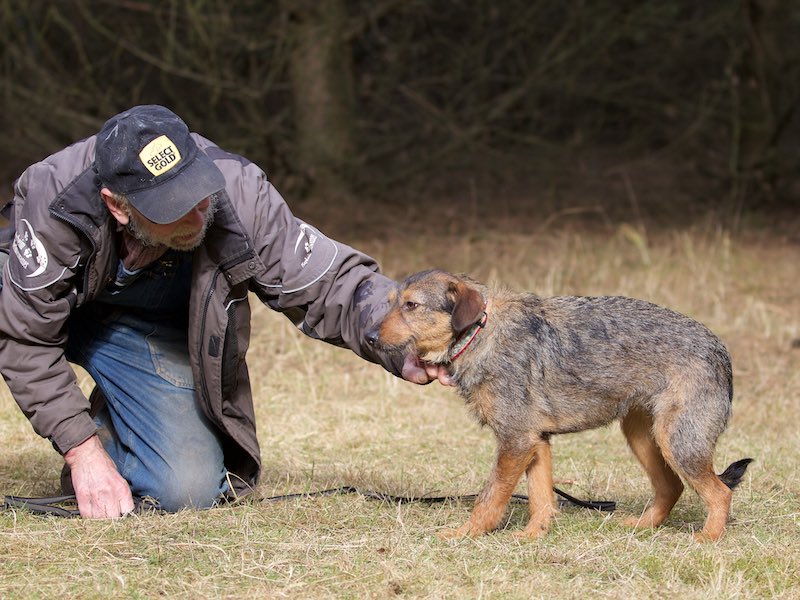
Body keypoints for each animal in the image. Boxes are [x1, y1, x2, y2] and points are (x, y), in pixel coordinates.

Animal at [367, 270, 752, 542]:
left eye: (412, 306)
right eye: (391, 302)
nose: (368, 336)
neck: (481, 333)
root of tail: (720, 350)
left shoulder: (515, 441)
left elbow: (490, 498)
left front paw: (466, 534)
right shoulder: (534, 441)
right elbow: (540, 497)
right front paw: (533, 535)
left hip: (679, 442)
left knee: (719, 493)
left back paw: (707, 538)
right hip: (645, 438)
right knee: (672, 487)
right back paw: (642, 526)